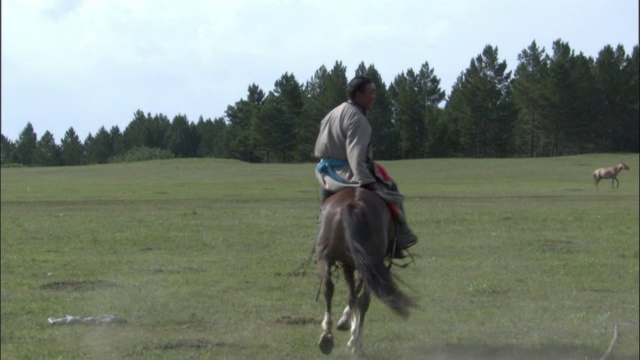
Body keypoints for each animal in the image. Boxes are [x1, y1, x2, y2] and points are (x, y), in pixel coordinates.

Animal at [314, 187, 416, 356]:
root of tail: (353, 205)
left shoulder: (349, 265)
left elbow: (352, 294)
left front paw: (346, 323)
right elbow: (356, 295)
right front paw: (350, 329)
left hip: (326, 257)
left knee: (328, 288)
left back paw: (327, 337)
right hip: (368, 263)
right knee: (363, 300)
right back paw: (356, 344)